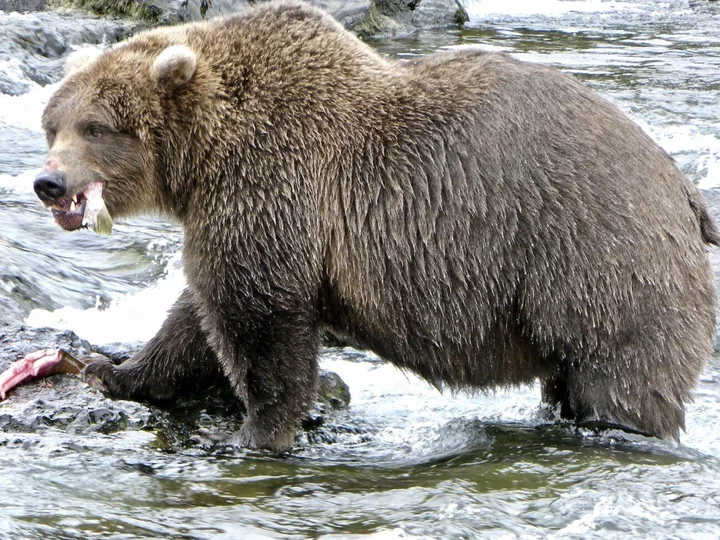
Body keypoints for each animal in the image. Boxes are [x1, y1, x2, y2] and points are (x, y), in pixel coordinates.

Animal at [32, 0, 720, 450]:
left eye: (96, 126)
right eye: (52, 124)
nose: (48, 183)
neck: (204, 158)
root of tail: (683, 186)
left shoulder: (274, 185)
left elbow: (258, 319)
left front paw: (259, 431)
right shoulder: (237, 212)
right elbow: (198, 314)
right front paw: (114, 370)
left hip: (598, 257)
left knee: (621, 378)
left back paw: (618, 429)